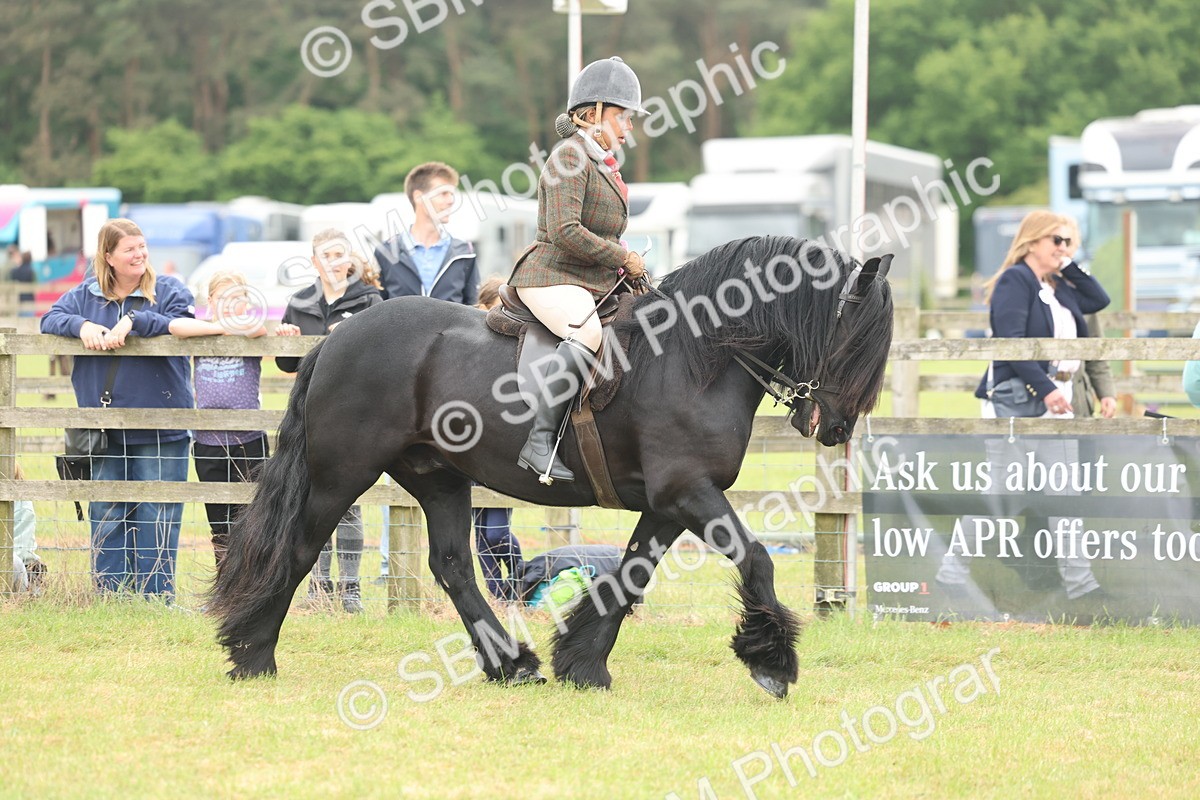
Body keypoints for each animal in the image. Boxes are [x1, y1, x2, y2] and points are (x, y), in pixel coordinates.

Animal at [210, 235, 894, 698]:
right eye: (852, 337)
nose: (835, 428)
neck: (692, 355)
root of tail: (336, 338)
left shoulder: (669, 503)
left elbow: (630, 576)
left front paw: (582, 663)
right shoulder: (689, 493)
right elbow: (755, 559)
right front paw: (771, 663)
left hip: (437, 477)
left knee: (453, 566)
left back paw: (513, 665)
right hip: (341, 474)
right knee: (301, 549)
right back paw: (253, 654)